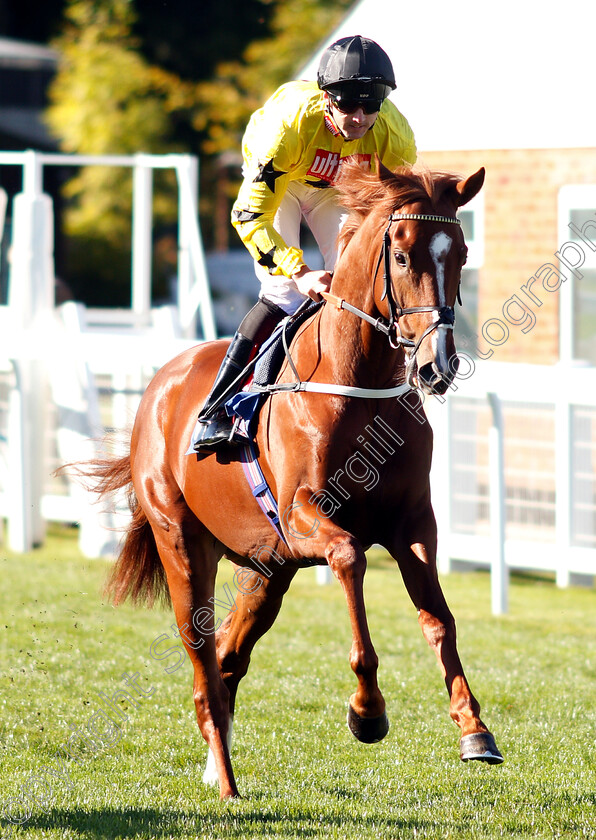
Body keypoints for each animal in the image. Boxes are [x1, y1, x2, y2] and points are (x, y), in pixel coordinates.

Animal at [86, 161, 500, 796]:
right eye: (402, 256)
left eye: (461, 253)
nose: (438, 366)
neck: (356, 384)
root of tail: (160, 384)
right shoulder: (303, 516)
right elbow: (350, 558)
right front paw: (367, 711)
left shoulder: (413, 522)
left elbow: (439, 618)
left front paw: (474, 728)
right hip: (182, 543)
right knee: (203, 660)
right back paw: (228, 782)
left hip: (266, 570)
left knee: (227, 658)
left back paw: (217, 764)